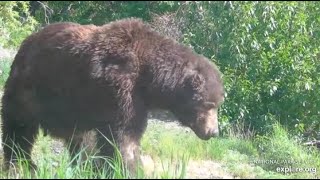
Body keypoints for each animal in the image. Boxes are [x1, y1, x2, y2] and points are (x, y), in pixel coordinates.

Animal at [0, 17, 225, 175]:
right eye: (209, 104)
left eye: (217, 104)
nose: (213, 131)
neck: (149, 77)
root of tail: (26, 42)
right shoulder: (121, 87)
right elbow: (124, 138)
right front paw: (131, 169)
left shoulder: (133, 101)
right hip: (31, 88)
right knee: (19, 127)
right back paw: (22, 164)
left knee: (81, 139)